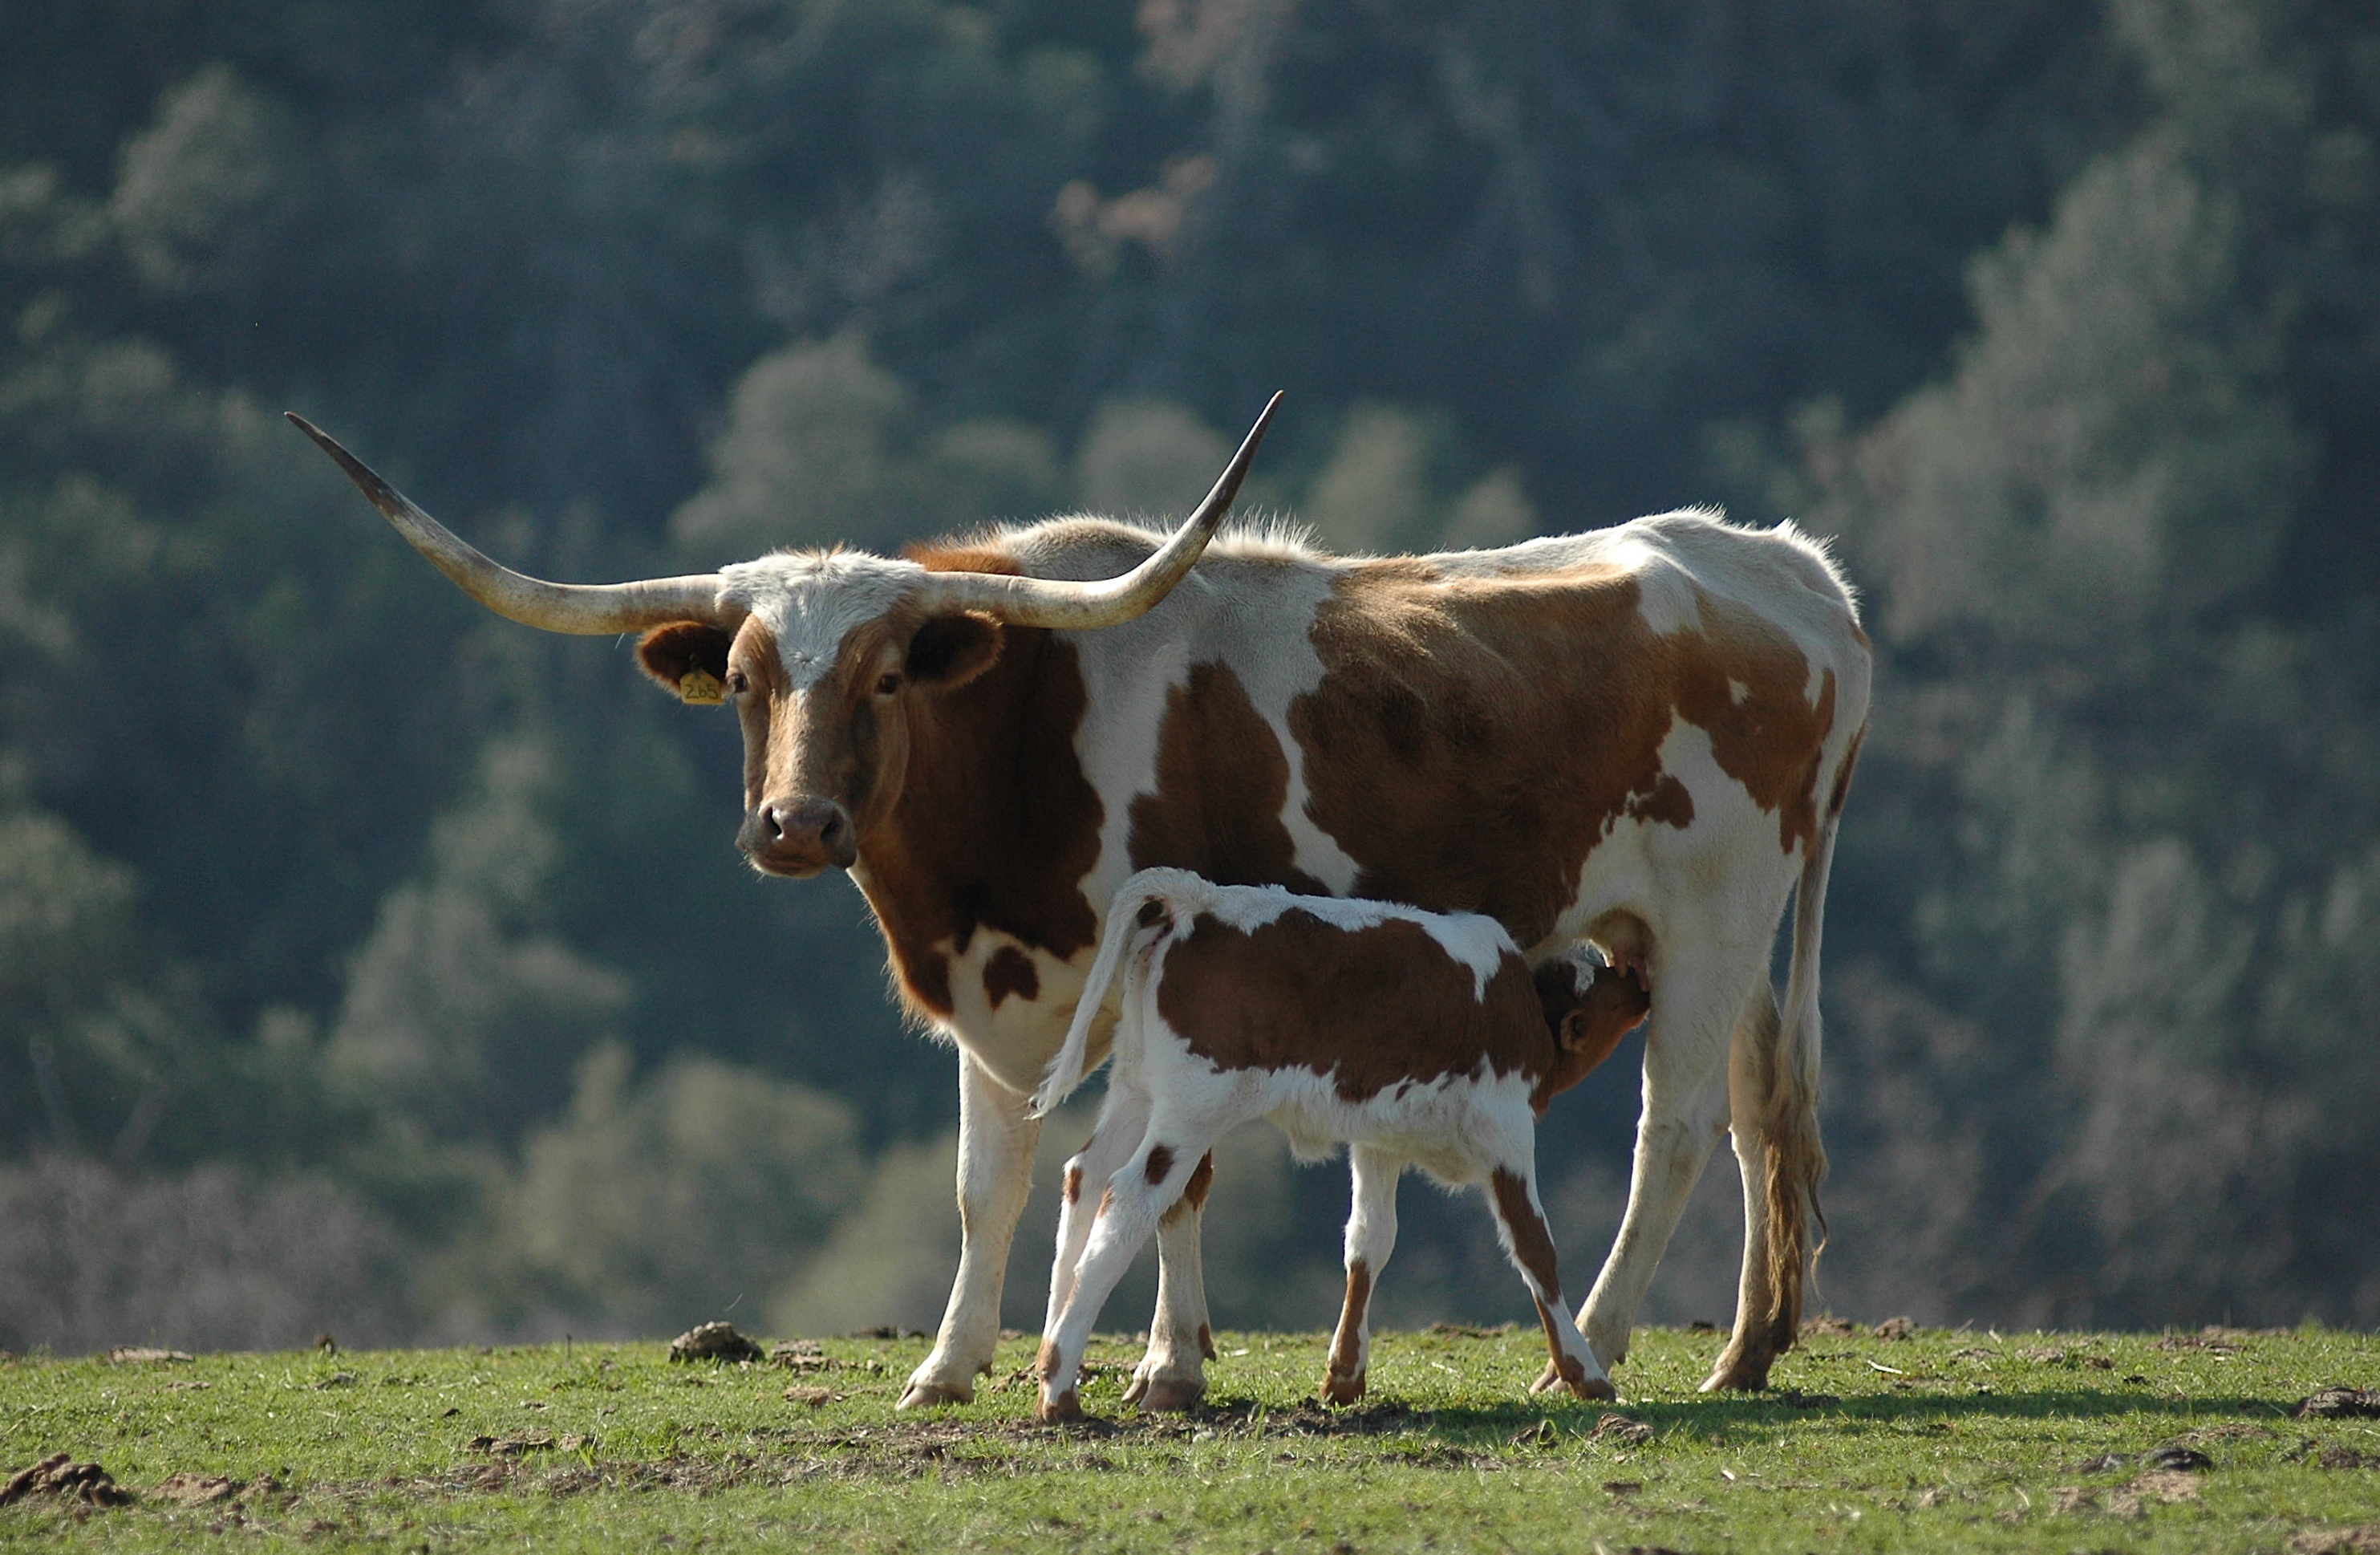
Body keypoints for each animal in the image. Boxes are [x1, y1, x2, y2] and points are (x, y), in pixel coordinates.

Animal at [1032, 867, 1647, 1409]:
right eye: (1607, 1001)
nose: (1637, 976)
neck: (1516, 1002)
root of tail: (1197, 898)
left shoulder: (1379, 1140)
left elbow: (1368, 1241)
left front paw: (1345, 1376)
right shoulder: (1508, 1131)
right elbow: (1534, 1247)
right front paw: (1583, 1373)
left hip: (1136, 1089)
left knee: (1085, 1176)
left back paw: (1052, 1355)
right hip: (1191, 1110)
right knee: (1129, 1197)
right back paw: (1060, 1388)